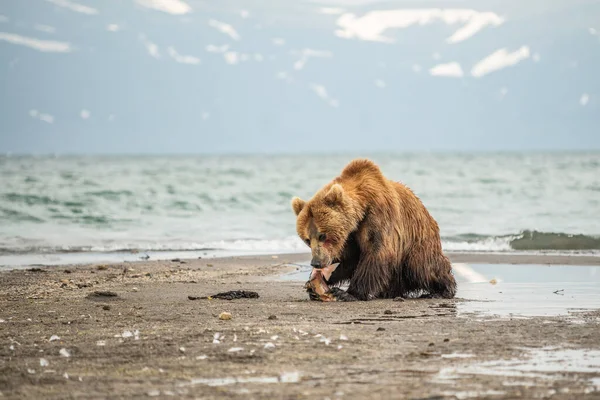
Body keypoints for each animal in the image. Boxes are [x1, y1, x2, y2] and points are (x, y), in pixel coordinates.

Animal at [290, 158, 454, 302]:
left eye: (322, 235)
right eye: (307, 239)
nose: (316, 263)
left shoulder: (378, 218)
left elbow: (376, 253)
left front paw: (347, 293)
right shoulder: (350, 234)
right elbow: (349, 258)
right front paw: (317, 281)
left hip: (418, 240)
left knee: (421, 266)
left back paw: (441, 291)